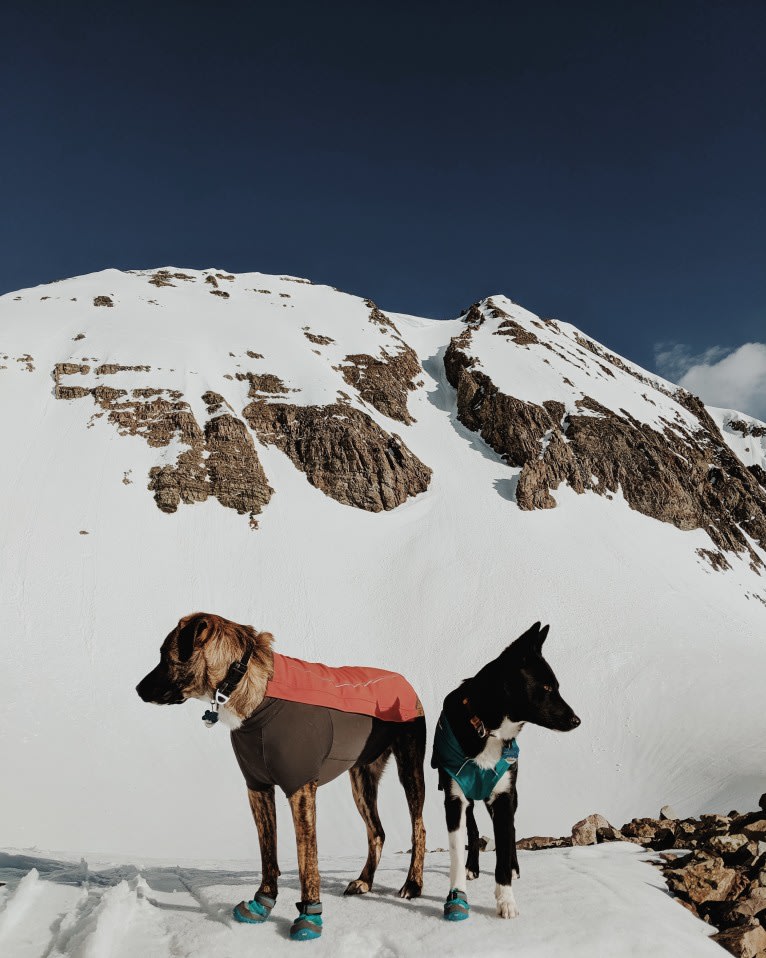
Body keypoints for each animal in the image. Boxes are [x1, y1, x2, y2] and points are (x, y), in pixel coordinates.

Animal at [432, 624, 584, 924]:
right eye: (547, 687)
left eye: (556, 686)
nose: (577, 721)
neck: (487, 729)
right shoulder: (454, 798)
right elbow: (456, 852)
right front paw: (457, 893)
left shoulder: (503, 797)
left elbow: (503, 847)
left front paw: (506, 901)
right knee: (473, 829)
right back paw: (473, 867)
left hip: (510, 794)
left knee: (510, 831)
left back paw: (513, 868)